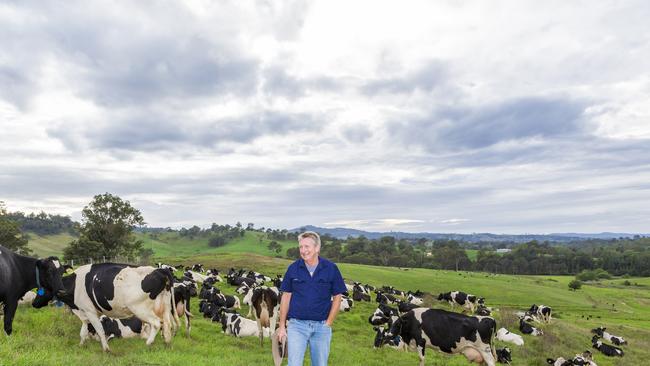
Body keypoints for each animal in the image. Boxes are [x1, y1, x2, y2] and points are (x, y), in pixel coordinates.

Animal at [31, 264, 176, 352]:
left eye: (40, 289)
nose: (34, 303)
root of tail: (160, 270)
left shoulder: (90, 312)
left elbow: (100, 331)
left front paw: (106, 349)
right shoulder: (86, 313)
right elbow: (83, 331)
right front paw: (81, 345)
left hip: (140, 309)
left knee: (156, 323)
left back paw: (149, 343)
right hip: (165, 307)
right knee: (167, 324)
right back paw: (167, 343)